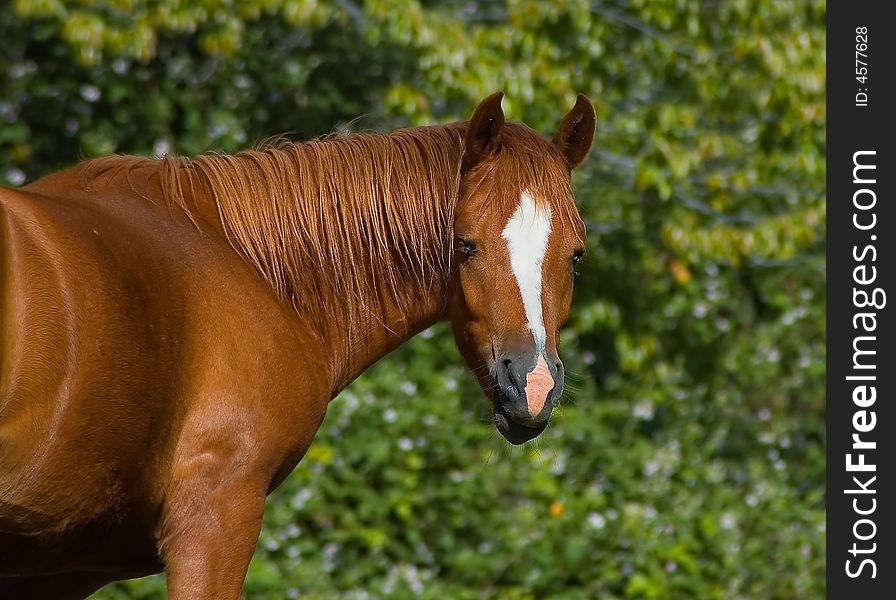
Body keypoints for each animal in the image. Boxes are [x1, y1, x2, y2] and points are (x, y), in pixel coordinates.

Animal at [3, 91, 600, 596]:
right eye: (466, 245)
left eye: (575, 255)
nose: (532, 386)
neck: (253, 266)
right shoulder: (215, 518)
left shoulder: (63, 567)